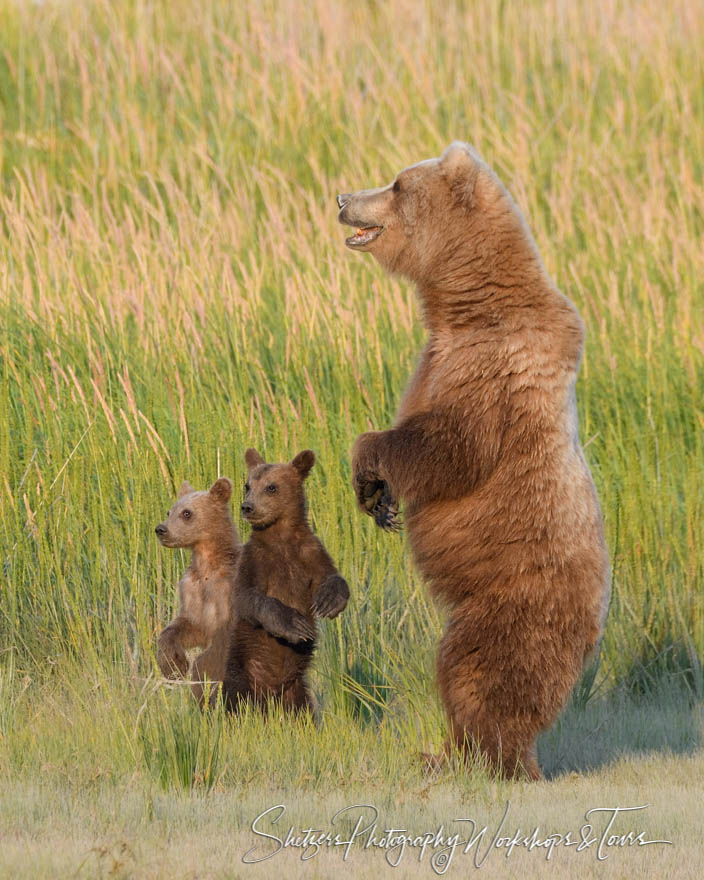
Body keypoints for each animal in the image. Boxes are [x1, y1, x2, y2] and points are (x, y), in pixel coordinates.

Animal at [155, 478, 241, 704]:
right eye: (169, 511)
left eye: (187, 513)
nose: (161, 529)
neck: (207, 565)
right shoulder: (191, 590)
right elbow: (186, 627)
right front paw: (175, 666)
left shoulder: (227, 592)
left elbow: (217, 649)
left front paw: (200, 680)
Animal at [223, 450, 350, 712]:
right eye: (248, 485)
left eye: (271, 487)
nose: (247, 506)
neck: (280, 536)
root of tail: (270, 694)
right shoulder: (254, 559)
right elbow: (246, 597)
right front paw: (295, 625)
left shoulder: (309, 552)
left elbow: (331, 575)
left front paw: (328, 601)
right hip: (241, 673)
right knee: (234, 701)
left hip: (297, 692)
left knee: (304, 710)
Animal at [336, 141, 612, 780]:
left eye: (396, 184)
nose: (341, 197)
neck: (464, 303)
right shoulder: (434, 355)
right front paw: (379, 501)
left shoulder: (494, 366)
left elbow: (450, 443)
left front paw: (366, 462)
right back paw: (445, 752)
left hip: (515, 602)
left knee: (478, 671)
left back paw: (483, 757)